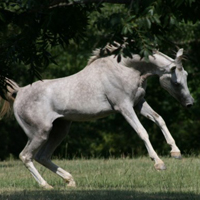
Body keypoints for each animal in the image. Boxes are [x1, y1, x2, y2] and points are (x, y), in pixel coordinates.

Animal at [0, 47, 194, 188]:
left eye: (186, 76)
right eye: (176, 82)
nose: (190, 103)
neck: (126, 68)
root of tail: (19, 92)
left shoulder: (139, 103)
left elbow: (160, 119)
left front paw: (176, 152)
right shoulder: (124, 107)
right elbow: (142, 132)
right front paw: (159, 163)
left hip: (60, 130)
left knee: (42, 157)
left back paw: (69, 180)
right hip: (40, 133)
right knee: (26, 156)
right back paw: (46, 185)